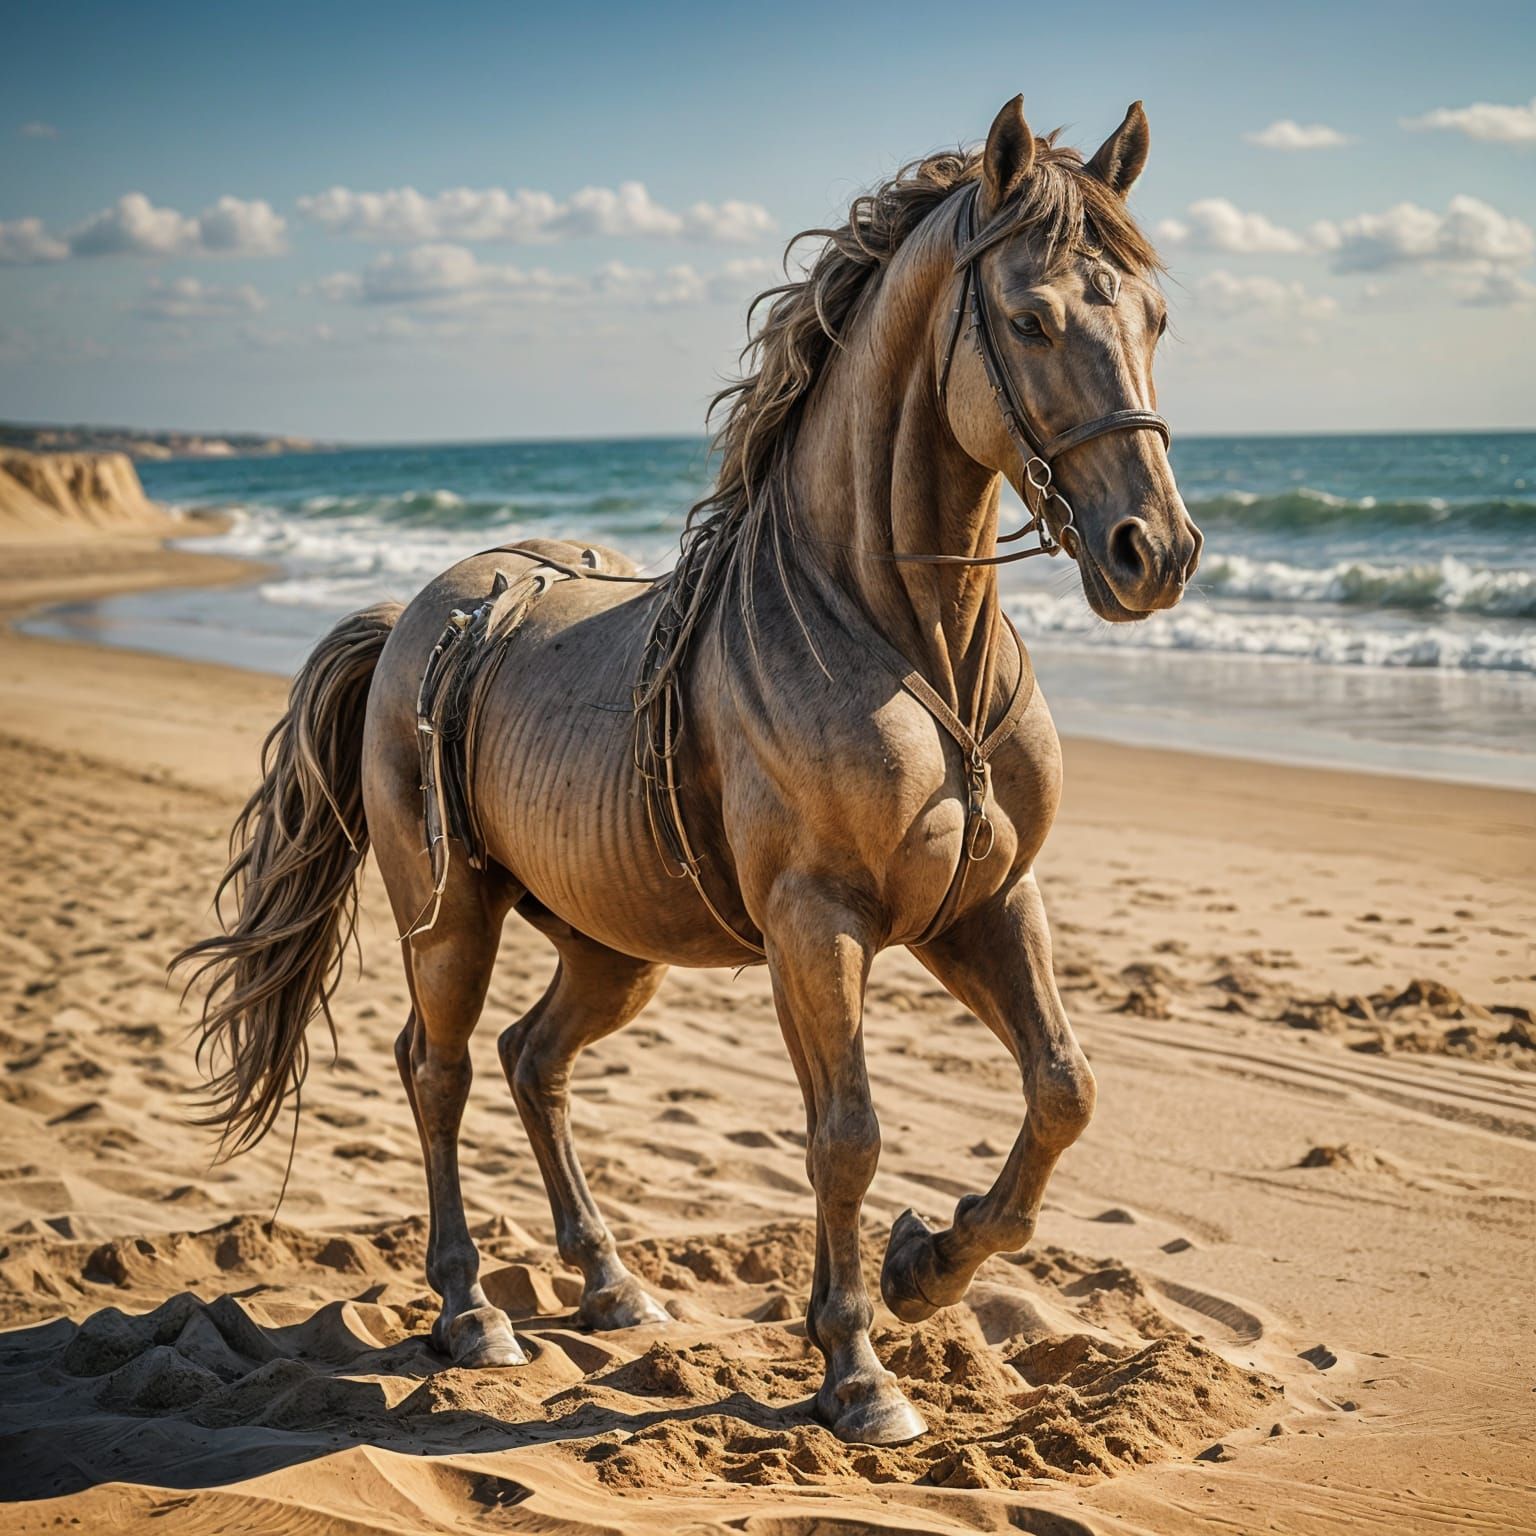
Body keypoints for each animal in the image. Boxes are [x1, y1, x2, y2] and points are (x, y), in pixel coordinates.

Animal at [176, 94, 1201, 1447]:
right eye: (1031, 318)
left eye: (1155, 319)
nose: (1157, 553)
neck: (899, 633)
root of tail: (422, 611)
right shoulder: (817, 926)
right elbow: (845, 1136)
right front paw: (859, 1372)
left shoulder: (981, 905)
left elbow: (1062, 1090)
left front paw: (926, 1269)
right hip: (448, 921)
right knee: (440, 1071)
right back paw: (472, 1312)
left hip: (613, 947)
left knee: (535, 1060)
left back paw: (611, 1282)